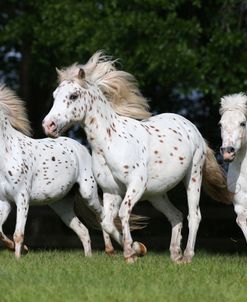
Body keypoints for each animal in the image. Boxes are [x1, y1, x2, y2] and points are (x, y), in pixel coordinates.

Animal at [0, 84, 114, 258]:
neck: (8, 154)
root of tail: (81, 148)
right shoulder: (4, 202)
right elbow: (0, 231)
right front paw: (19, 248)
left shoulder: (22, 198)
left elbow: (18, 234)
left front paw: (18, 257)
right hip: (61, 205)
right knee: (83, 231)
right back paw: (88, 257)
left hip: (88, 194)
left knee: (101, 216)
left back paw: (110, 250)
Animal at [43, 51, 233, 262]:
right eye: (54, 96)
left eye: (73, 95)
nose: (48, 125)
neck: (110, 142)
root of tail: (191, 128)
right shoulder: (111, 191)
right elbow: (107, 222)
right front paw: (136, 249)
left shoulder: (135, 185)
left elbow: (123, 213)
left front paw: (130, 253)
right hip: (157, 194)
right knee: (175, 215)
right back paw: (175, 254)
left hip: (193, 178)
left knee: (194, 215)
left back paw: (187, 256)